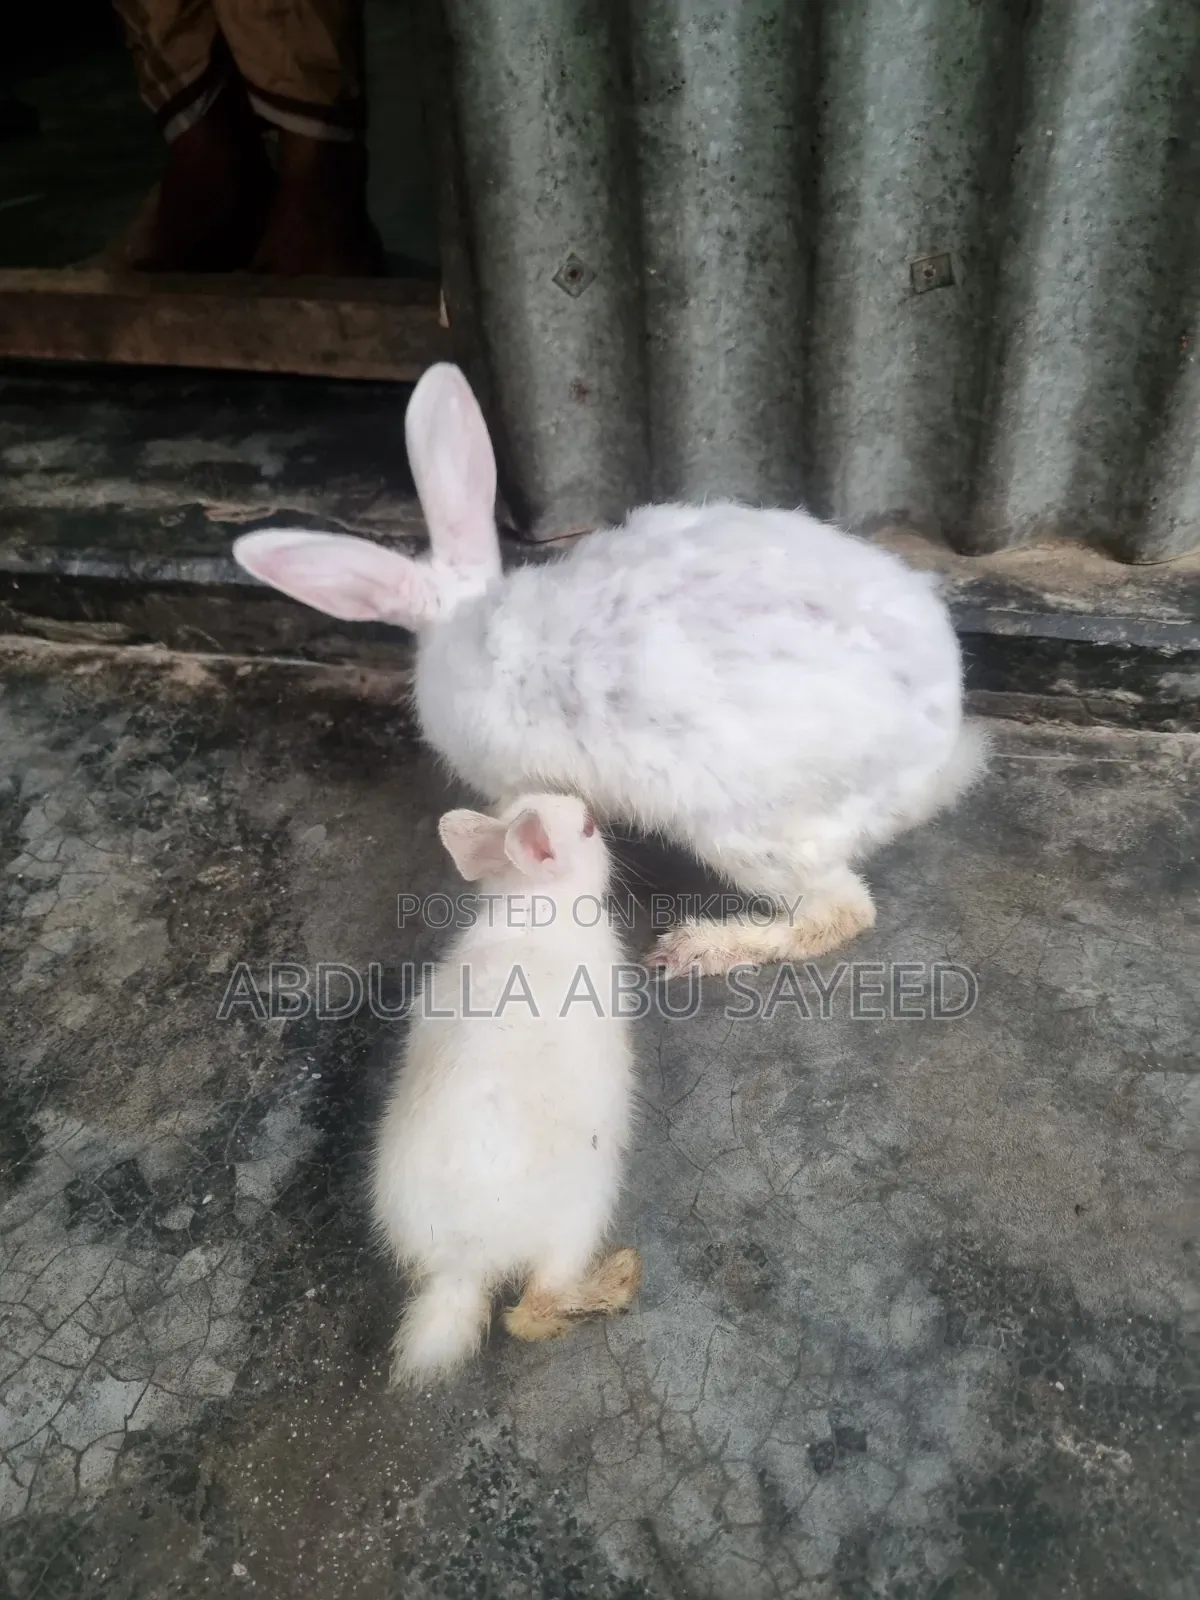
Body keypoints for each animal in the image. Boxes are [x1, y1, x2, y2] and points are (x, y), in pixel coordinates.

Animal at [234, 363, 987, 977]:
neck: (463, 615)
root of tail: (937, 753)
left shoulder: (516, 782)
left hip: (748, 835)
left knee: (842, 912)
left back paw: (698, 949)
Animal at [370, 791, 641, 1386]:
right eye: (588, 829)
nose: (595, 811)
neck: (537, 902)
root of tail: (464, 1262)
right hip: (581, 1212)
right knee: (531, 1311)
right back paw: (616, 1281)